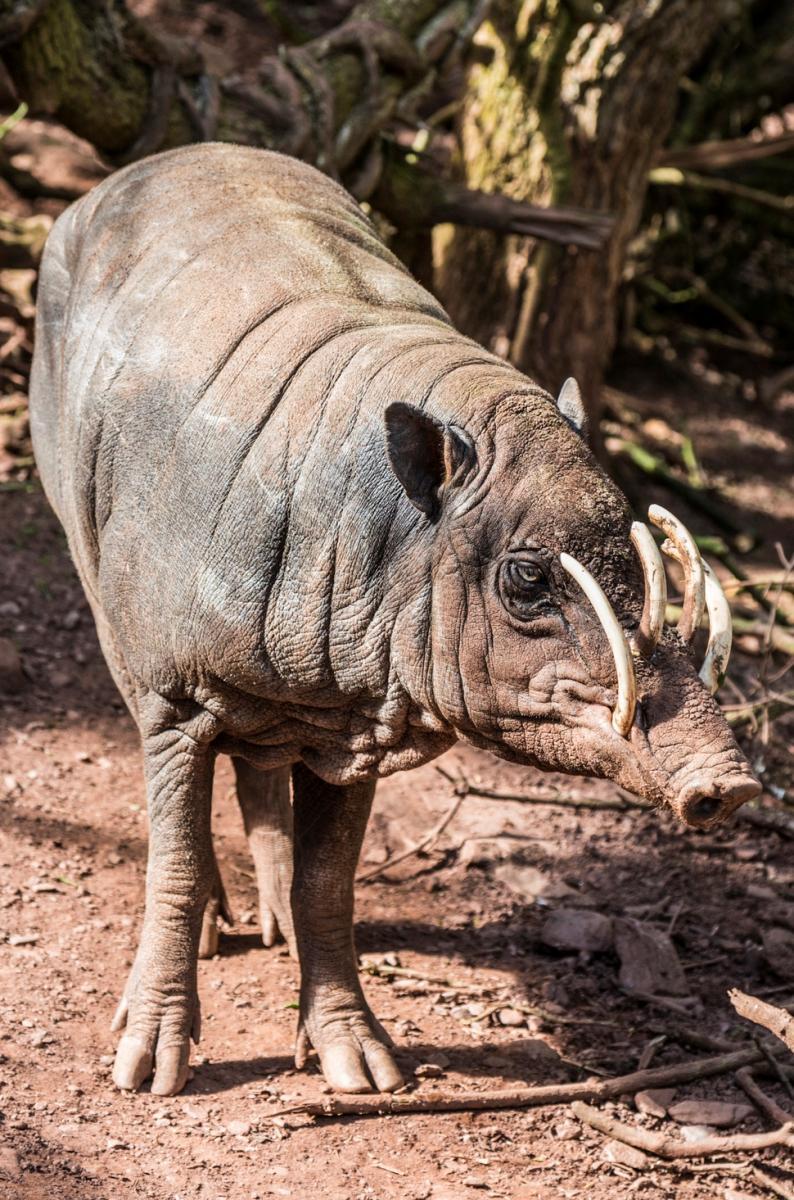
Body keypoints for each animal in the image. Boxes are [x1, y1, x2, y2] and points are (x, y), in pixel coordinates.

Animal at [28, 142, 762, 1099]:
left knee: (261, 767)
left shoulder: (352, 716)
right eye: (527, 578)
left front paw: (363, 1070)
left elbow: (329, 885)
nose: (731, 783)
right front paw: (148, 1067)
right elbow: (177, 863)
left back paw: (271, 919)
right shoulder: (175, 690)